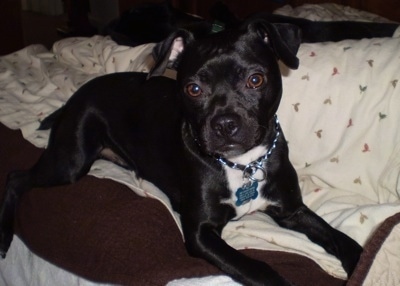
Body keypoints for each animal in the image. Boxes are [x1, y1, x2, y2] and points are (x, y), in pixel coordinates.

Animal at [0, 19, 362, 284]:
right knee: (15, 178)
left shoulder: (292, 210)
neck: (242, 165)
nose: (224, 124)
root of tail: (79, 93)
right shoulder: (200, 233)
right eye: (194, 88)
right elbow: (259, 268)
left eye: (255, 80)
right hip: (70, 163)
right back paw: (4, 237)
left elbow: (343, 240)